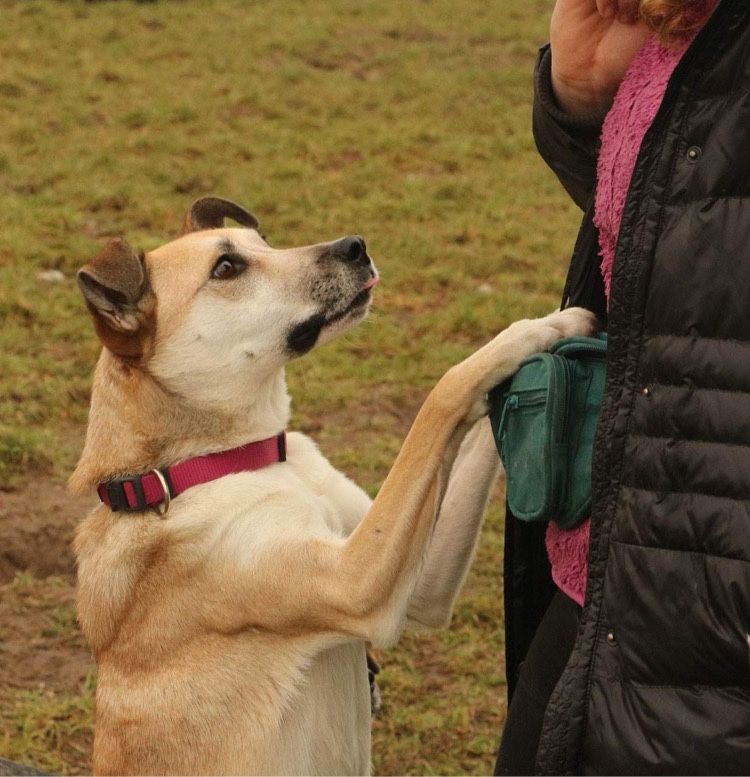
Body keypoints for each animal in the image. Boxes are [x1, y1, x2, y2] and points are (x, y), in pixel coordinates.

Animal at [72, 197, 600, 772]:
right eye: (227, 268)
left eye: (264, 242)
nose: (356, 246)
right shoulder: (356, 584)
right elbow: (443, 395)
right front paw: (536, 329)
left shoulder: (417, 587)